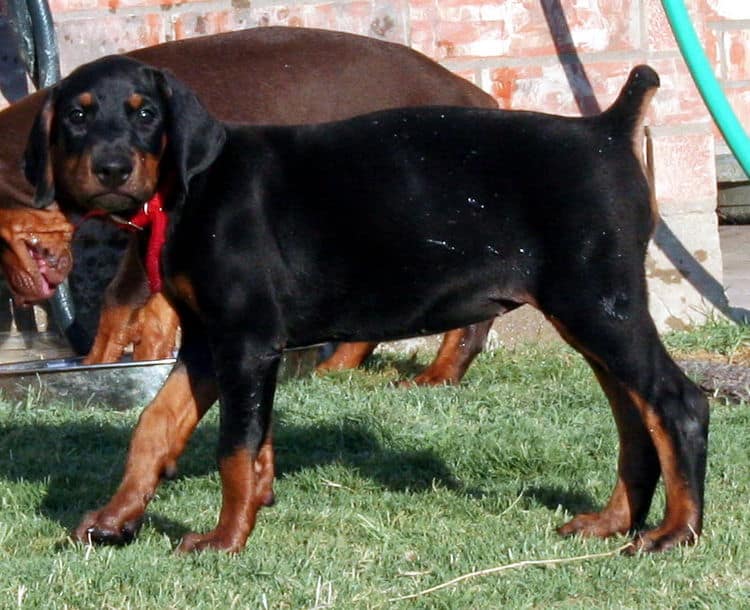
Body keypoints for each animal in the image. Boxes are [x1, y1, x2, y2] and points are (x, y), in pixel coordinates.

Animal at [26, 55, 712, 552]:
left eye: (145, 113)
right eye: (78, 116)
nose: (113, 168)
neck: (189, 189)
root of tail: (606, 129)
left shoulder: (245, 339)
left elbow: (233, 448)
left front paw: (226, 537)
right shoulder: (206, 340)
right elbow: (155, 427)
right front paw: (115, 518)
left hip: (597, 303)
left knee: (678, 402)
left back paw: (675, 532)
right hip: (592, 312)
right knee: (634, 419)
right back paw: (611, 521)